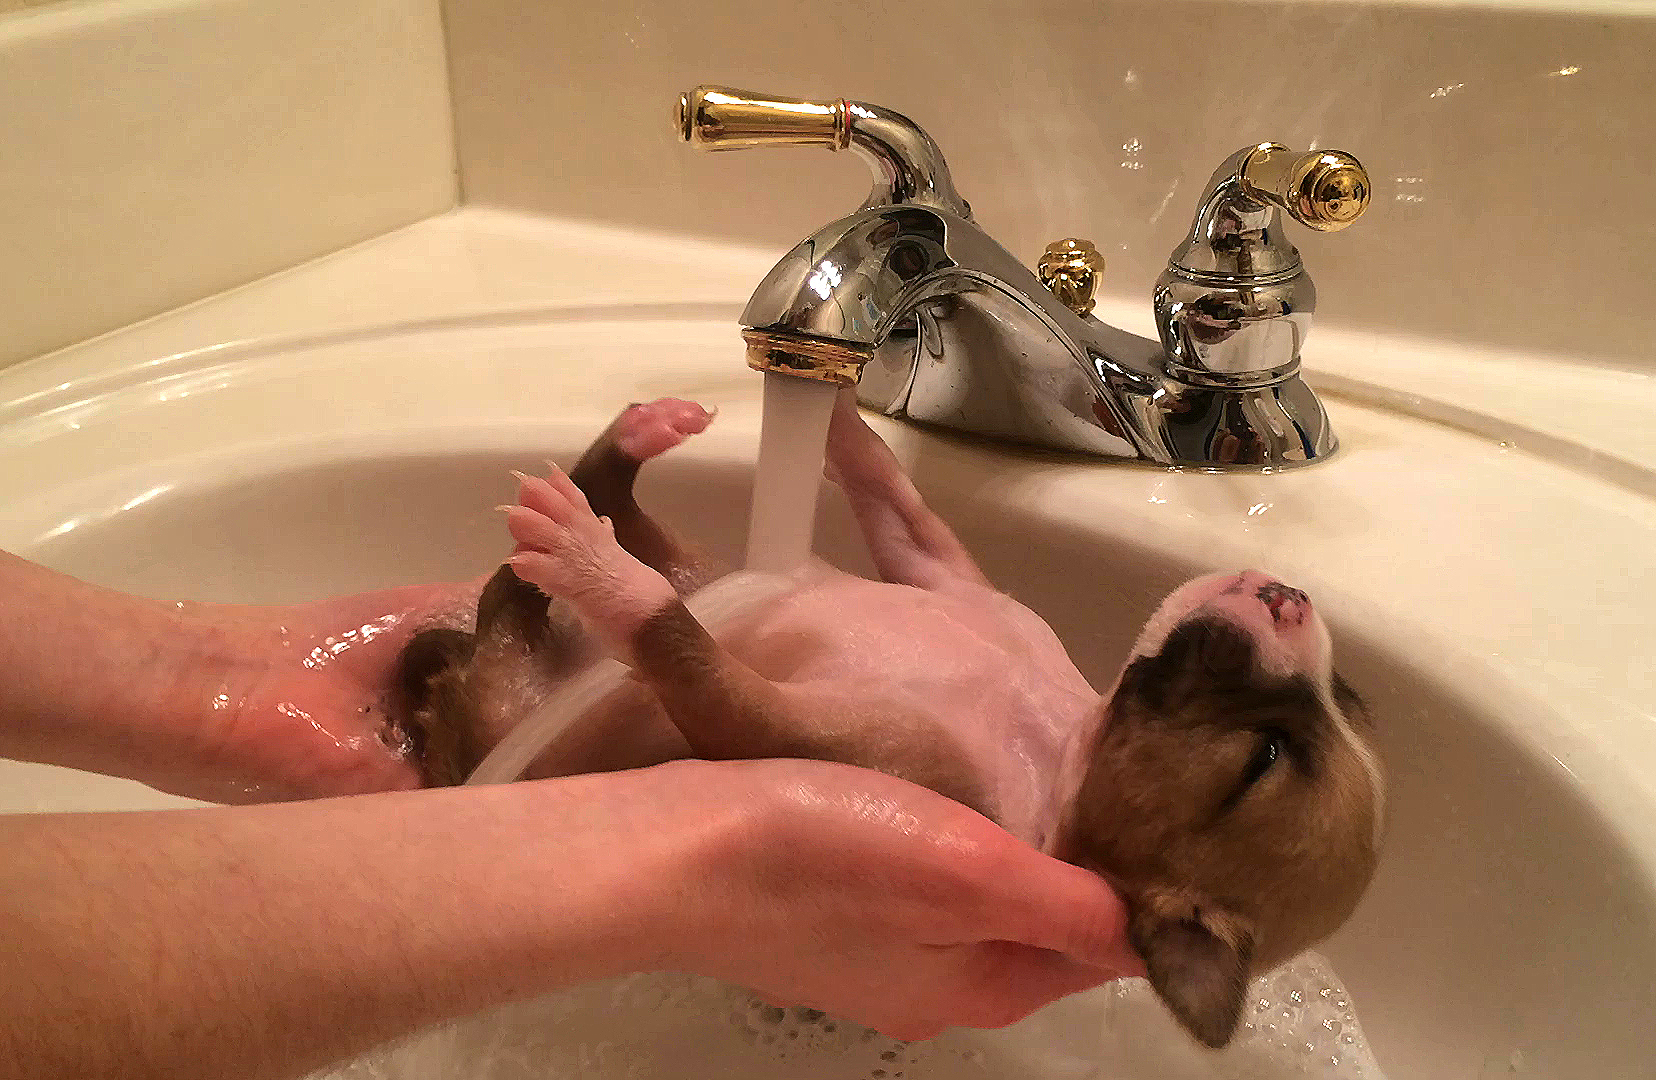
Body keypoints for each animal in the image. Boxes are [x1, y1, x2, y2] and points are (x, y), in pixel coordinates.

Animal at [400, 394, 1384, 1046]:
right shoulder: (942, 571)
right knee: (608, 534)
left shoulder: (791, 735)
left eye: (1264, 760)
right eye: (1350, 696)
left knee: (552, 593)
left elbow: (685, 652)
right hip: (707, 565)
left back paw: (580, 546)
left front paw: (611, 584)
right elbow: (893, 493)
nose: (1289, 596)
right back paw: (631, 446)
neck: (1064, 741)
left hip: (523, 689)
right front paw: (836, 393)